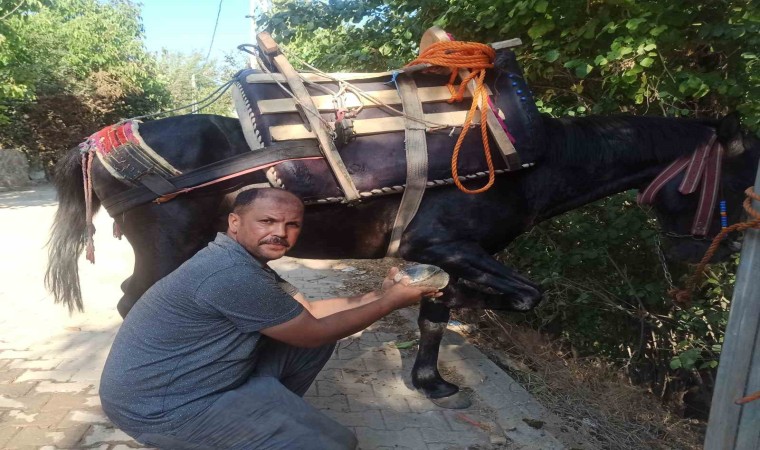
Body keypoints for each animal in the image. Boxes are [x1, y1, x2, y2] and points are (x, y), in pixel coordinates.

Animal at [46, 110, 756, 406]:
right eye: (739, 175)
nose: (702, 251)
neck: (526, 161)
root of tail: (96, 143)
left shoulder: (459, 254)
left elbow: (436, 315)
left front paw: (430, 381)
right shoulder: (441, 245)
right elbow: (521, 295)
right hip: (168, 245)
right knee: (137, 302)